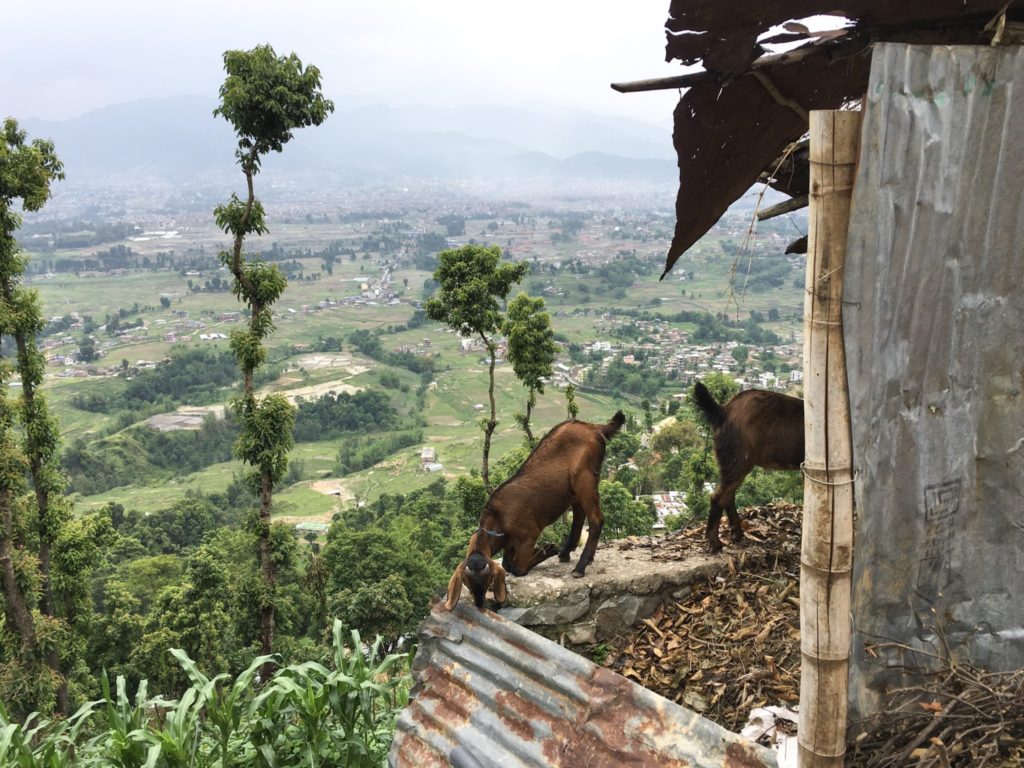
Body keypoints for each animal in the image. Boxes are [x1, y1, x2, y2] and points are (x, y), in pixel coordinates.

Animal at [446, 411, 626, 610]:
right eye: (467, 584)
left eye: (488, 580)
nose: (479, 604)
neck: (498, 518)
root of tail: (595, 427)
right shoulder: (509, 543)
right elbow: (507, 565)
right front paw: (548, 550)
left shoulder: (529, 534)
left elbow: (518, 569)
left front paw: (546, 549)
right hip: (573, 488)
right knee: (579, 514)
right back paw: (567, 552)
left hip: (585, 478)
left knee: (596, 519)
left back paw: (579, 567)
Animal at [692, 382, 802, 552]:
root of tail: (723, 411)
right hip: (738, 459)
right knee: (718, 496)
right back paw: (715, 543)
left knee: (728, 495)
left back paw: (736, 533)